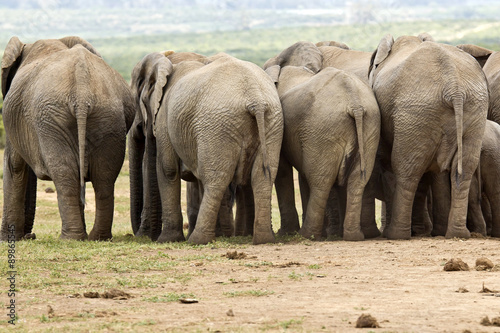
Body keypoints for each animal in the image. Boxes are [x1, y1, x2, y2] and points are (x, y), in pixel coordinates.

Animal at [0, 36, 135, 240]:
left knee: (65, 173)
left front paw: (6, 239)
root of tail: (82, 88)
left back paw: (70, 237)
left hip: (51, 119)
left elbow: (13, 165)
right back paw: (96, 237)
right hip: (108, 116)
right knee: (104, 177)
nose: (30, 235)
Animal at [131, 51, 284, 244]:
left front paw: (167, 240)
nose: (141, 235)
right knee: (262, 177)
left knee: (215, 179)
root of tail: (255, 99)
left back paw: (197, 239)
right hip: (273, 121)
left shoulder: (165, 117)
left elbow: (168, 170)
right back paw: (264, 239)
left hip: (217, 125)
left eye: (135, 99)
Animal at [266, 41, 378, 240]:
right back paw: (353, 236)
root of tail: (355, 102)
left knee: (320, 181)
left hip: (323, 129)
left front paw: (286, 233)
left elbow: (285, 172)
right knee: (356, 180)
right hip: (367, 125)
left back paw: (307, 235)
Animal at [368, 33, 488, 239]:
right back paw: (456, 234)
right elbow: (438, 171)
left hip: (414, 111)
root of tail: (454, 88)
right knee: (464, 169)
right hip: (473, 110)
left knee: (406, 170)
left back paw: (395, 235)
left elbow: (388, 162)